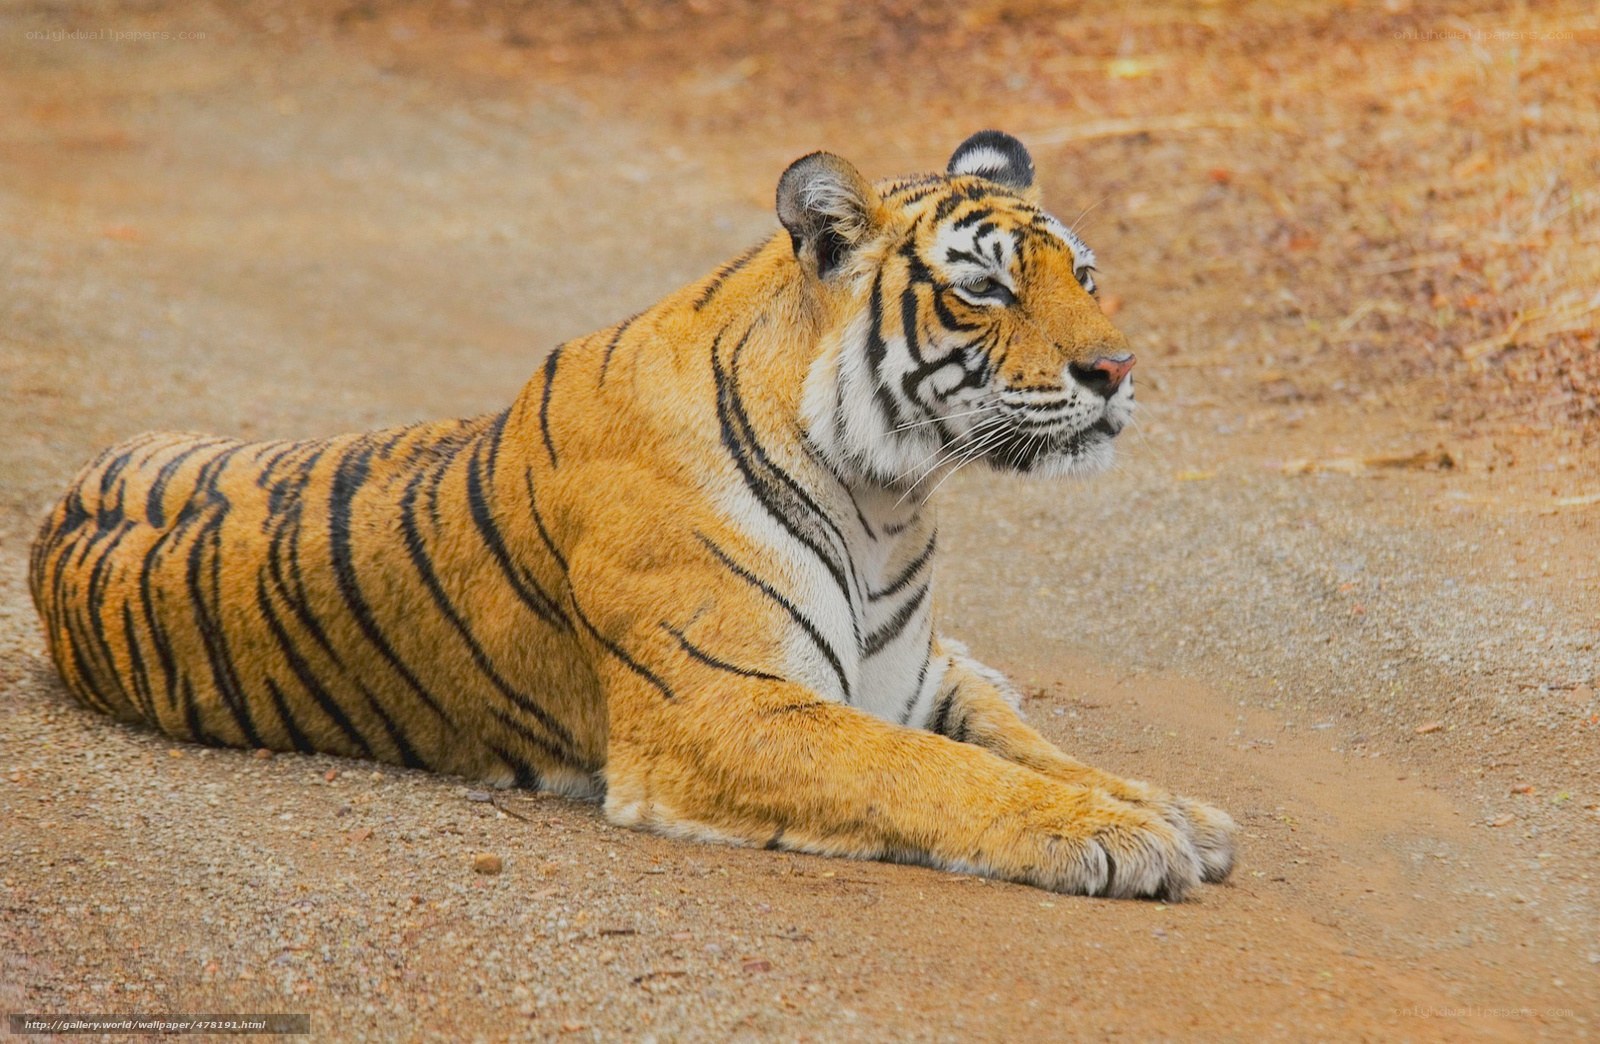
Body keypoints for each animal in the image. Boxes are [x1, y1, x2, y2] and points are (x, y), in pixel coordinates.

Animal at [30, 131, 1237, 899]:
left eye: (1086, 276)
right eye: (983, 288)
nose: (1117, 369)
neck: (890, 495)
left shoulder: (912, 677)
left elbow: (1029, 746)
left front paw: (1175, 810)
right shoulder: (724, 707)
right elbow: (938, 774)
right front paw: (1119, 836)